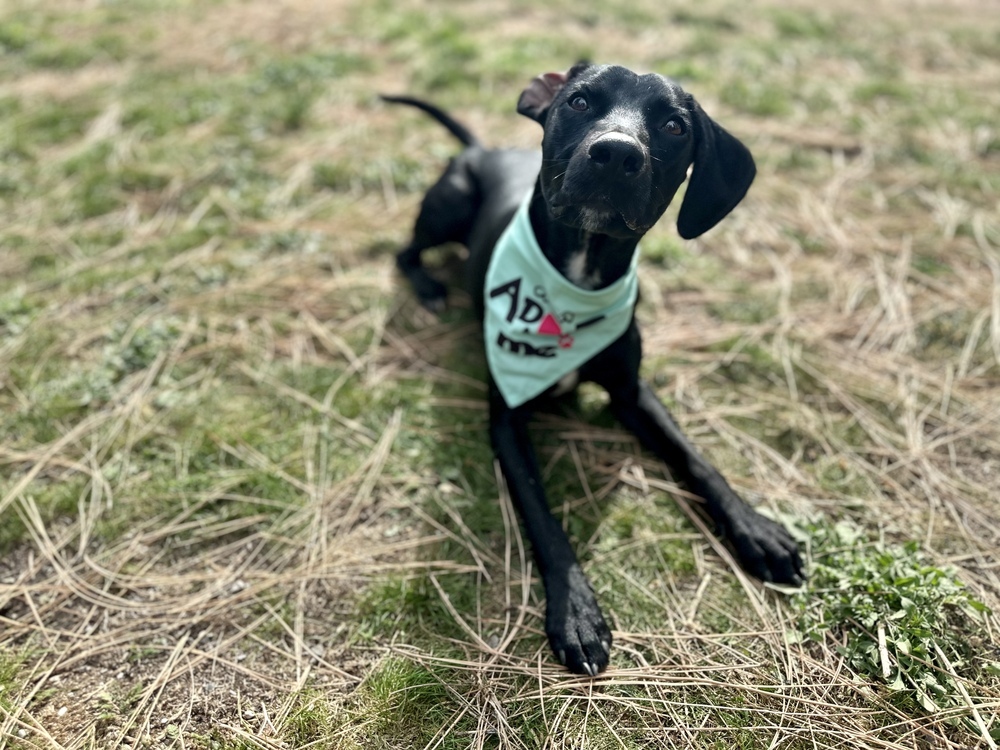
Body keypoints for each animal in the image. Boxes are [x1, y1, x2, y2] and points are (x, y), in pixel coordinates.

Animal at [382, 61, 804, 680]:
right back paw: (431, 289)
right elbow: (544, 520)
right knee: (405, 252)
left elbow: (695, 458)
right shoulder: (506, 419)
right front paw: (576, 611)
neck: (577, 274)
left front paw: (755, 530)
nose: (616, 153)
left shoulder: (632, 392)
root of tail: (483, 149)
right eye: (580, 101)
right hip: (447, 206)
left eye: (675, 126)